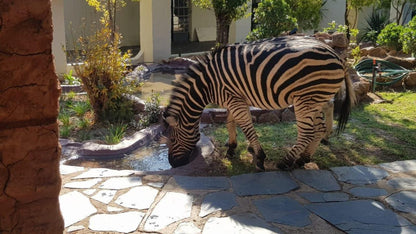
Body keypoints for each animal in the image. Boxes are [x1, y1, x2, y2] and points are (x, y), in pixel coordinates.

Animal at [164, 35, 356, 171]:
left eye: (171, 140)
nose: (173, 165)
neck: (208, 84)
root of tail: (338, 56)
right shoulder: (233, 98)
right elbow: (230, 123)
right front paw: (232, 148)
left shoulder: (234, 100)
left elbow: (247, 127)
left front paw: (259, 157)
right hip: (315, 100)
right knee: (319, 128)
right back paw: (304, 158)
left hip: (305, 100)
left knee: (308, 132)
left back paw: (286, 162)